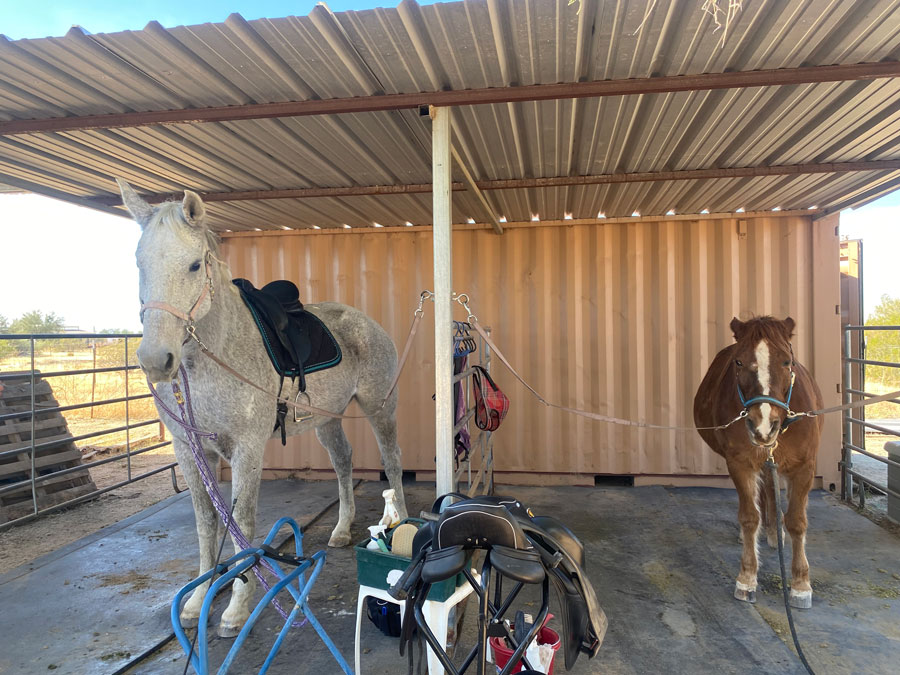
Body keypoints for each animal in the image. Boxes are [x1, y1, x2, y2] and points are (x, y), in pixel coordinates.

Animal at [117, 181, 408, 640]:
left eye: (194, 265)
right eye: (139, 263)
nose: (155, 360)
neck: (216, 354)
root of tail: (367, 322)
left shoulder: (247, 449)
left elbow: (243, 522)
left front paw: (237, 607)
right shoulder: (188, 451)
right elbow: (206, 523)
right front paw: (198, 600)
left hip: (380, 408)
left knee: (392, 460)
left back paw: (402, 521)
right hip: (326, 419)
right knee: (344, 462)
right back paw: (342, 530)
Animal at [696, 320, 824, 608]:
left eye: (788, 361)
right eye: (739, 362)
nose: (763, 426)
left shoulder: (804, 467)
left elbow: (797, 521)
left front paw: (801, 584)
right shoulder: (740, 463)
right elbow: (749, 517)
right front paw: (747, 578)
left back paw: (776, 533)